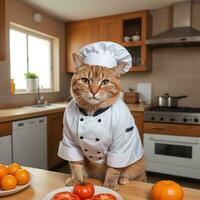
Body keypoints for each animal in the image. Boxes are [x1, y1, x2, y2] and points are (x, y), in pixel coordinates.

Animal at [58, 41, 146, 191]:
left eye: (104, 82)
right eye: (85, 80)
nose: (93, 91)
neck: (92, 114)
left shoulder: (119, 146)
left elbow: (114, 168)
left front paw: (110, 182)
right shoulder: (70, 141)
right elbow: (75, 164)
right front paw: (77, 179)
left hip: (138, 164)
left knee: (135, 175)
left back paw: (123, 178)